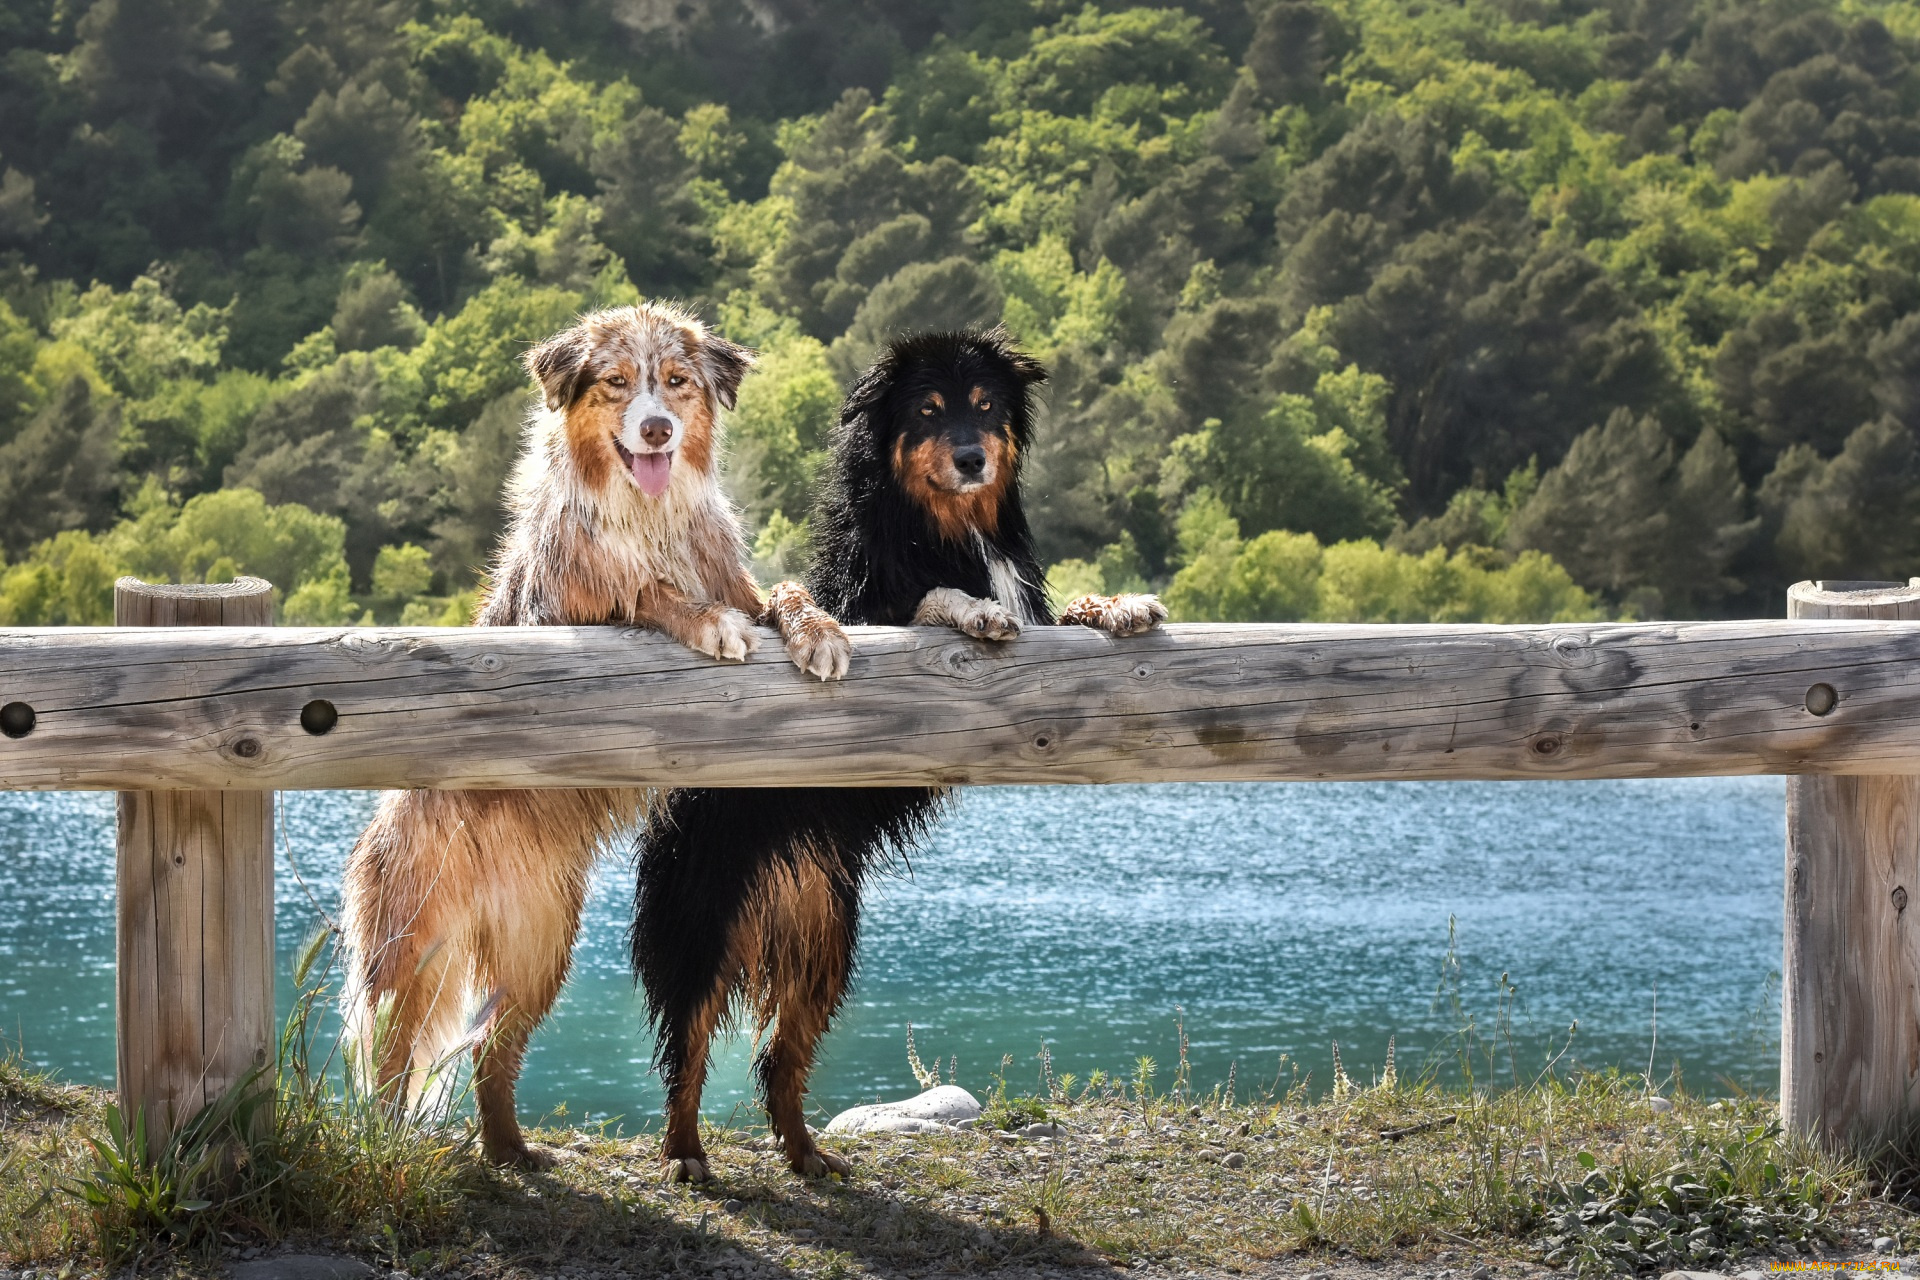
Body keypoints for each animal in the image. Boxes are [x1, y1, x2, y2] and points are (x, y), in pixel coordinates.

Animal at [343, 303, 848, 1174]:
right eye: (616, 383)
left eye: (676, 382)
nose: (656, 429)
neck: (648, 514)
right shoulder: (571, 615)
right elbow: (644, 592)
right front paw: (704, 621)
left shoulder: (739, 579)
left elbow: (783, 592)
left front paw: (818, 632)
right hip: (414, 950)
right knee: (393, 1057)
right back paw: (395, 1142)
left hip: (541, 950)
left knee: (492, 1051)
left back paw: (510, 1151)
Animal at [637, 328, 1159, 1182]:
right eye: (929, 412)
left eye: (984, 407)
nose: (973, 458)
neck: (947, 526)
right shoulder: (867, 610)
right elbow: (927, 602)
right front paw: (971, 609)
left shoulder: (1038, 614)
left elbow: (1069, 612)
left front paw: (1122, 605)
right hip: (704, 925)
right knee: (687, 1049)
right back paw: (685, 1156)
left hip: (824, 945)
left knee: (779, 1060)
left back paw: (807, 1154)